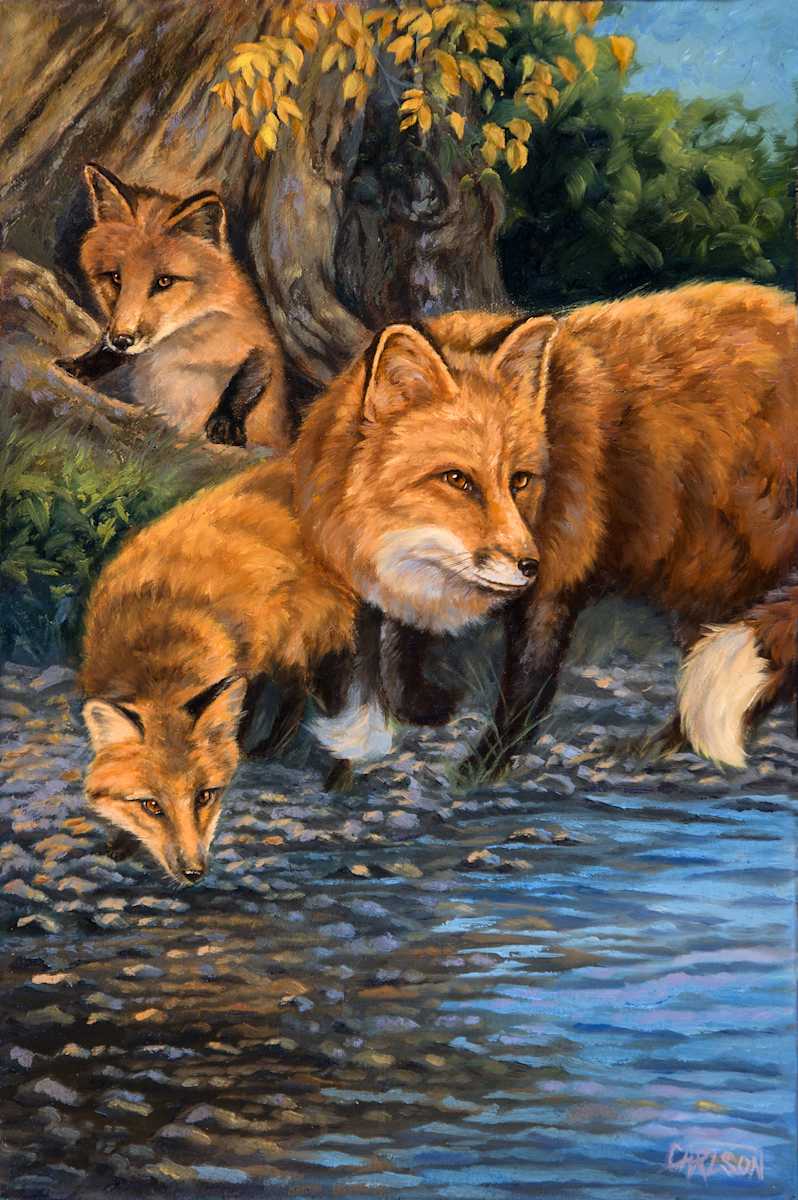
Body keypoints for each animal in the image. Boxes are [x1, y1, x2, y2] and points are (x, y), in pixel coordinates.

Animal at [67, 163, 290, 449]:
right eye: (116, 277)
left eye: (164, 281)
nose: (122, 340)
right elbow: (103, 355)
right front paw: (79, 365)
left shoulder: (259, 342)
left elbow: (249, 378)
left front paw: (226, 424)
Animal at [293, 284, 798, 778]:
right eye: (457, 479)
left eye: (519, 480)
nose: (527, 564)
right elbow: (398, 653)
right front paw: (425, 706)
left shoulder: (557, 577)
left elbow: (525, 691)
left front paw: (484, 769)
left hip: (712, 571)